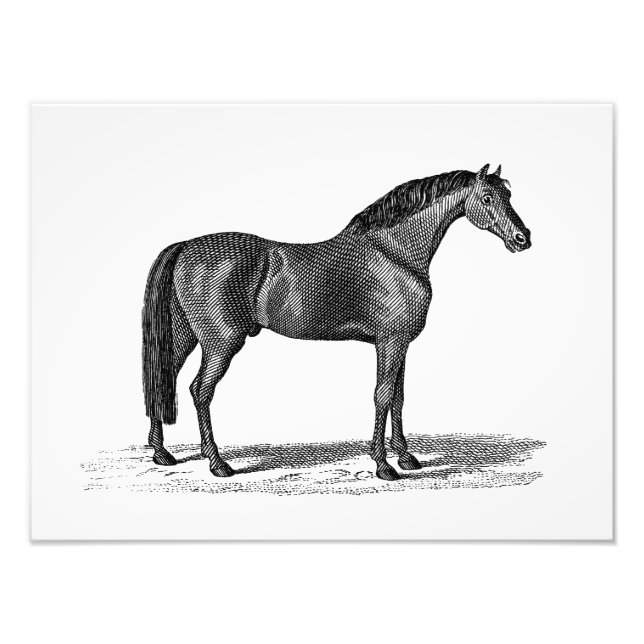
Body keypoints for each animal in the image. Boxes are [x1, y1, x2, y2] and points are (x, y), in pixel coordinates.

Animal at [142, 164, 531, 481]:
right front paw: (383, 466)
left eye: (508, 194)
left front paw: (406, 457)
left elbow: (399, 398)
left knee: (164, 379)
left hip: (183, 338)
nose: (522, 238)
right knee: (200, 391)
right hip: (221, 343)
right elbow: (382, 396)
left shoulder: (400, 344)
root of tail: (184, 246)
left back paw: (162, 453)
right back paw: (217, 463)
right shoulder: (390, 342)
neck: (395, 253)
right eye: (487, 197)